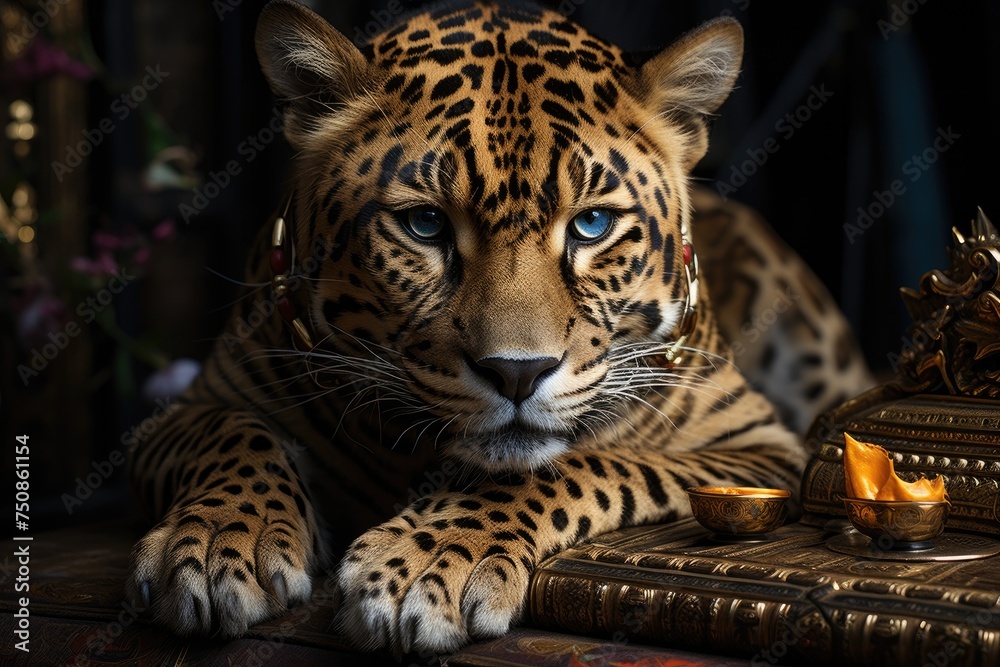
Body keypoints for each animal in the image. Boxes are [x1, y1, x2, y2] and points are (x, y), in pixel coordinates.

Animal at [125, 0, 874, 656]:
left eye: (592, 225)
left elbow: (579, 461)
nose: (518, 372)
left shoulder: (759, 445)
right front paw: (218, 544)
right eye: (425, 224)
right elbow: (234, 435)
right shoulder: (184, 409)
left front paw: (420, 568)